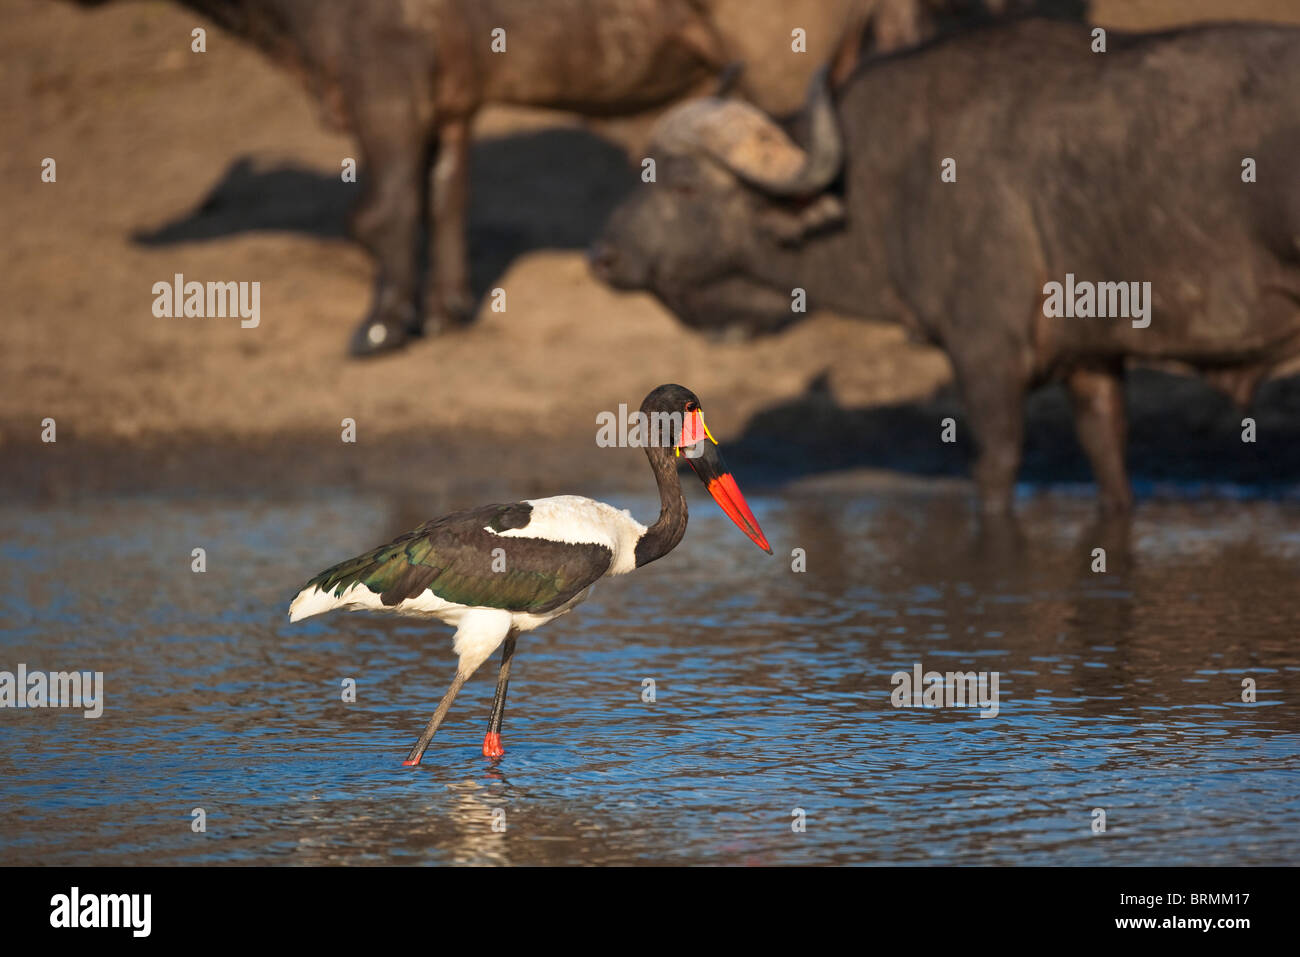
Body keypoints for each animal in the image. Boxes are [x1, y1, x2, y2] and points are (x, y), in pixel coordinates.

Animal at [595, 20, 1300, 514]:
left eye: (683, 184)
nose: (603, 256)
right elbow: (1111, 462)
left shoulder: (987, 356)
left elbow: (994, 468)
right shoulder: (1093, 362)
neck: (886, 180)